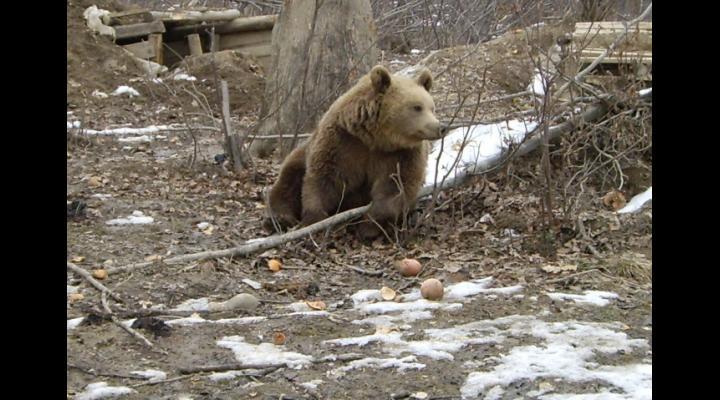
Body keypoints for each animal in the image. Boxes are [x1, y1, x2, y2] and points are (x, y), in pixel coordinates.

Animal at [262, 65, 444, 239]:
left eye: (432, 107)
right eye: (417, 107)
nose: (440, 127)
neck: (377, 138)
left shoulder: (402, 154)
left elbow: (397, 185)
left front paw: (369, 227)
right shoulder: (343, 141)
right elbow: (325, 177)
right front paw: (315, 218)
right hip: (302, 153)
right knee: (289, 177)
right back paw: (280, 219)